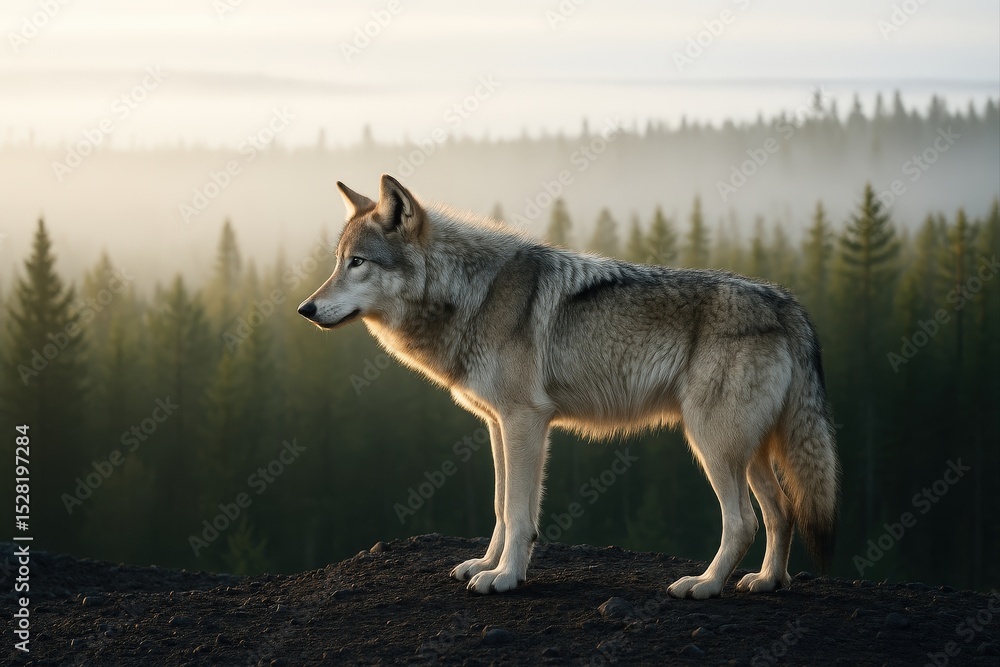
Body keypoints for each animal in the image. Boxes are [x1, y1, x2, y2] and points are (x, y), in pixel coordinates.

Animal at [298, 174, 840, 598]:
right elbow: (500, 507)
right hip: (748, 450)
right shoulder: (498, 424)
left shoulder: (526, 421)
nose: (305, 309)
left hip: (712, 444)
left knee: (744, 521)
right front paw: (485, 565)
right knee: (782, 511)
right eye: (337, 261)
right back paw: (767, 581)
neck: (470, 293)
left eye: (358, 262)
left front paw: (505, 577)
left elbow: (518, 513)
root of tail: (788, 303)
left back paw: (704, 585)